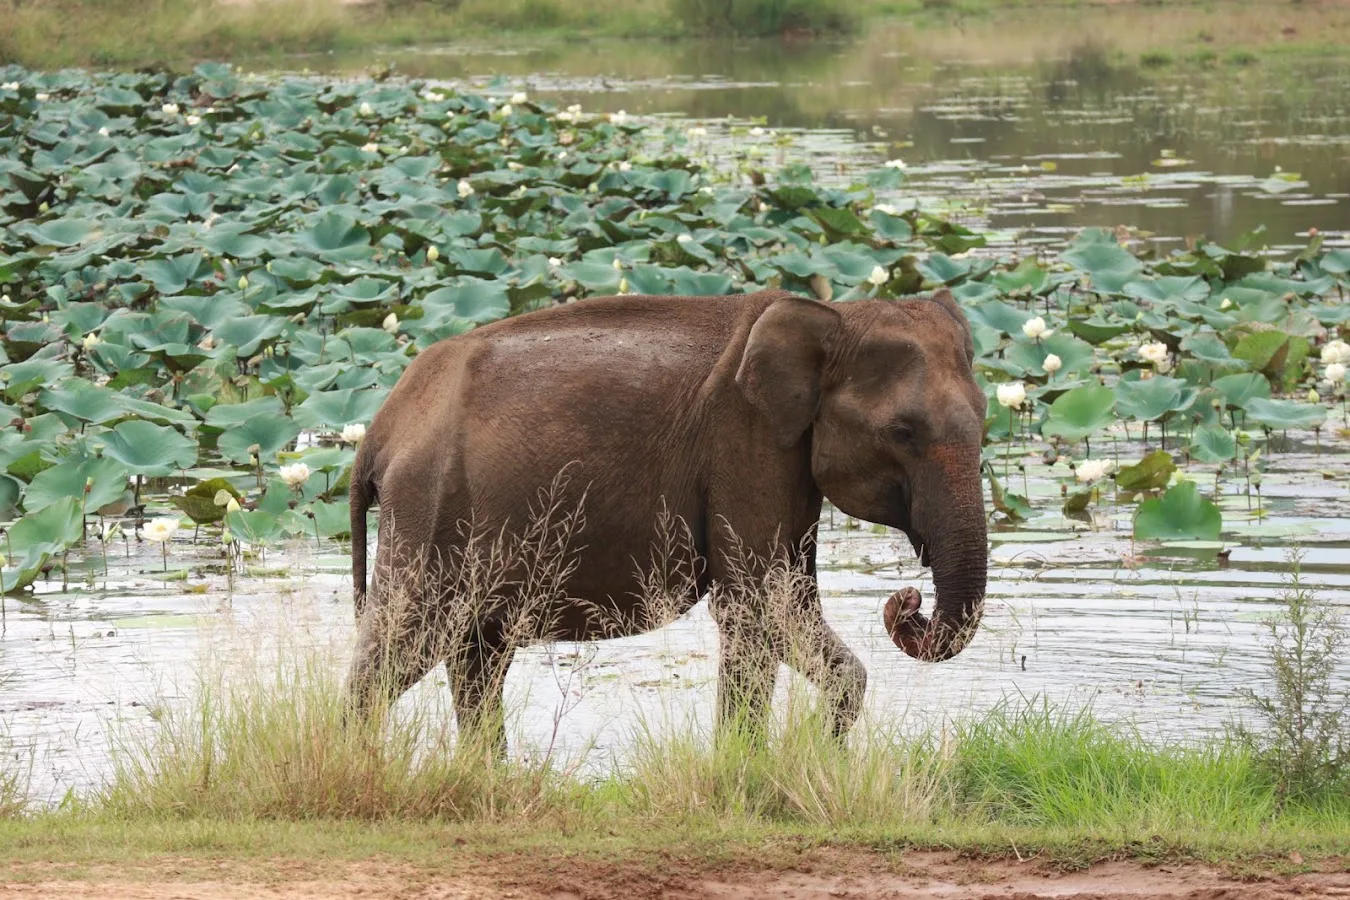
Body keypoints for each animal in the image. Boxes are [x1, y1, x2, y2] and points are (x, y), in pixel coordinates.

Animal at [346, 288, 988, 752]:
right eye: (902, 433)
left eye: (986, 418)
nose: (908, 603)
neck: (836, 316)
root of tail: (379, 427)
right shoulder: (744, 441)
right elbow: (754, 604)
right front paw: (756, 769)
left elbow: (789, 599)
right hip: (429, 508)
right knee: (404, 644)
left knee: (477, 653)